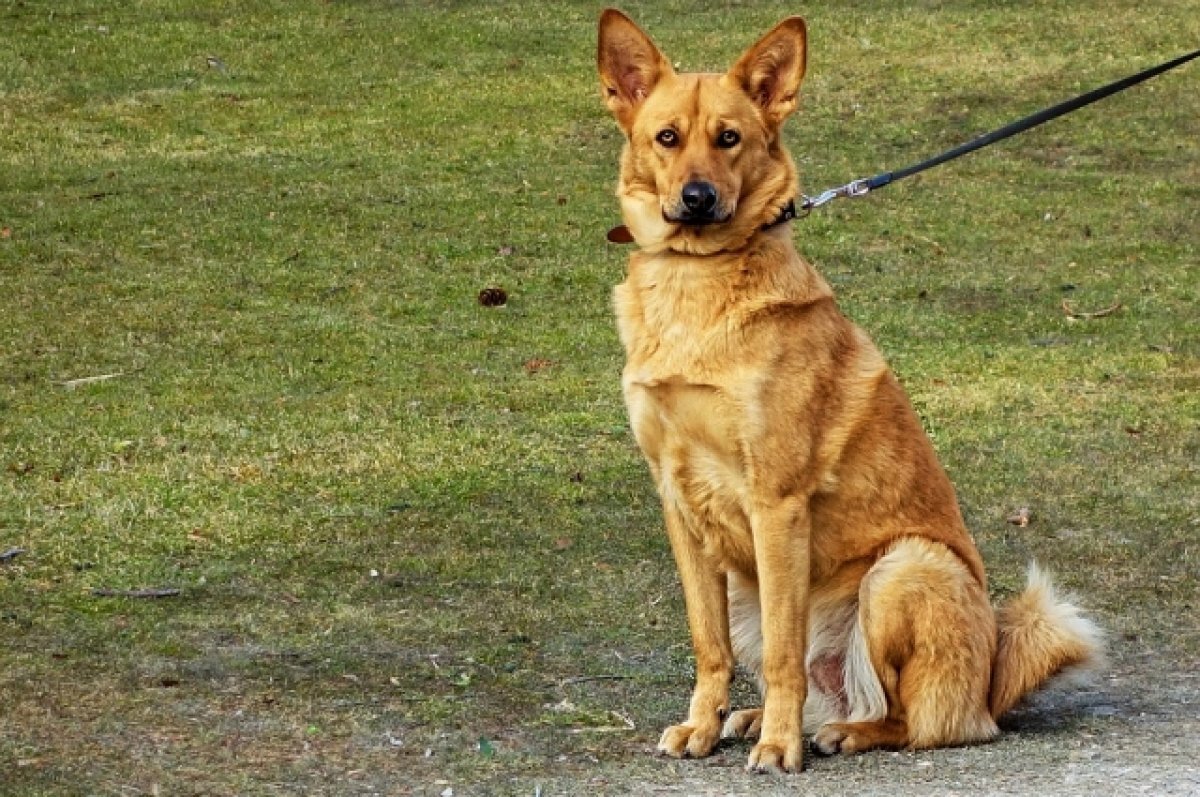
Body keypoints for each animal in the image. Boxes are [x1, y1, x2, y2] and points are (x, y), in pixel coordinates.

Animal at [595, 9, 1099, 772]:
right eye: (668, 137)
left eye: (729, 138)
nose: (697, 198)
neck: (697, 282)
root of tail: (992, 681)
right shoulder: (680, 505)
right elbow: (709, 646)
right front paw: (703, 726)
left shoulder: (776, 505)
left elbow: (782, 655)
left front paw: (779, 747)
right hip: (752, 587)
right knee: (830, 687)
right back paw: (756, 717)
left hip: (902, 570)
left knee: (915, 718)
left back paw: (838, 731)